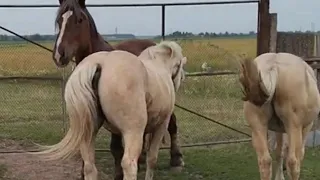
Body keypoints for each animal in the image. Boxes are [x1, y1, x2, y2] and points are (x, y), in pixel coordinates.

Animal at [33, 40, 188, 180]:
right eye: (179, 65)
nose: (181, 79)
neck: (158, 65)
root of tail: (100, 63)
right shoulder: (161, 126)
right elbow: (152, 159)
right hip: (132, 132)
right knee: (129, 164)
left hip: (88, 131)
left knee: (89, 166)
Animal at [53, 0, 184, 179]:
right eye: (59, 21)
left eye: (79, 20)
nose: (60, 54)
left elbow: (116, 150)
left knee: (172, 125)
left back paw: (175, 159)